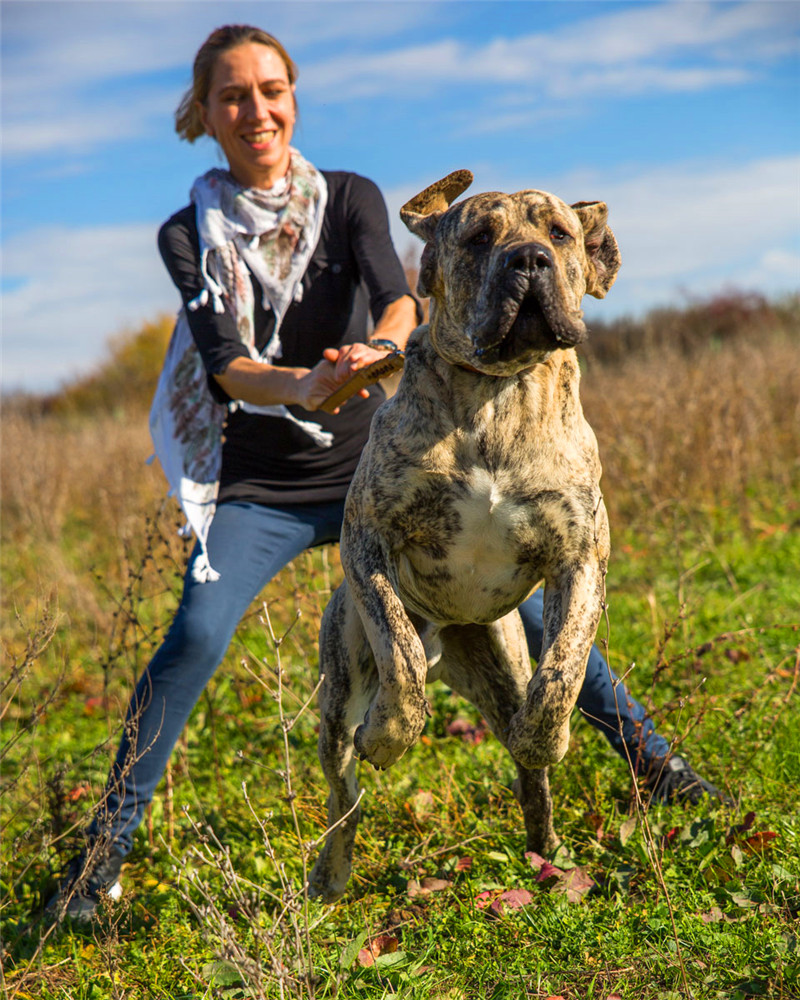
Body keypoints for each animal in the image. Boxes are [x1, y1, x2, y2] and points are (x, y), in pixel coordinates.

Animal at [310, 168, 620, 904]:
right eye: (480, 237)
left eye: (559, 234)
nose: (528, 259)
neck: (498, 394)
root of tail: (447, 643)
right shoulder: (368, 541)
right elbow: (397, 651)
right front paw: (390, 734)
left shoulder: (582, 555)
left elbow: (562, 671)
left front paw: (545, 737)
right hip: (338, 686)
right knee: (343, 793)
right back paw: (331, 873)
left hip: (499, 661)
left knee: (527, 761)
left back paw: (548, 854)